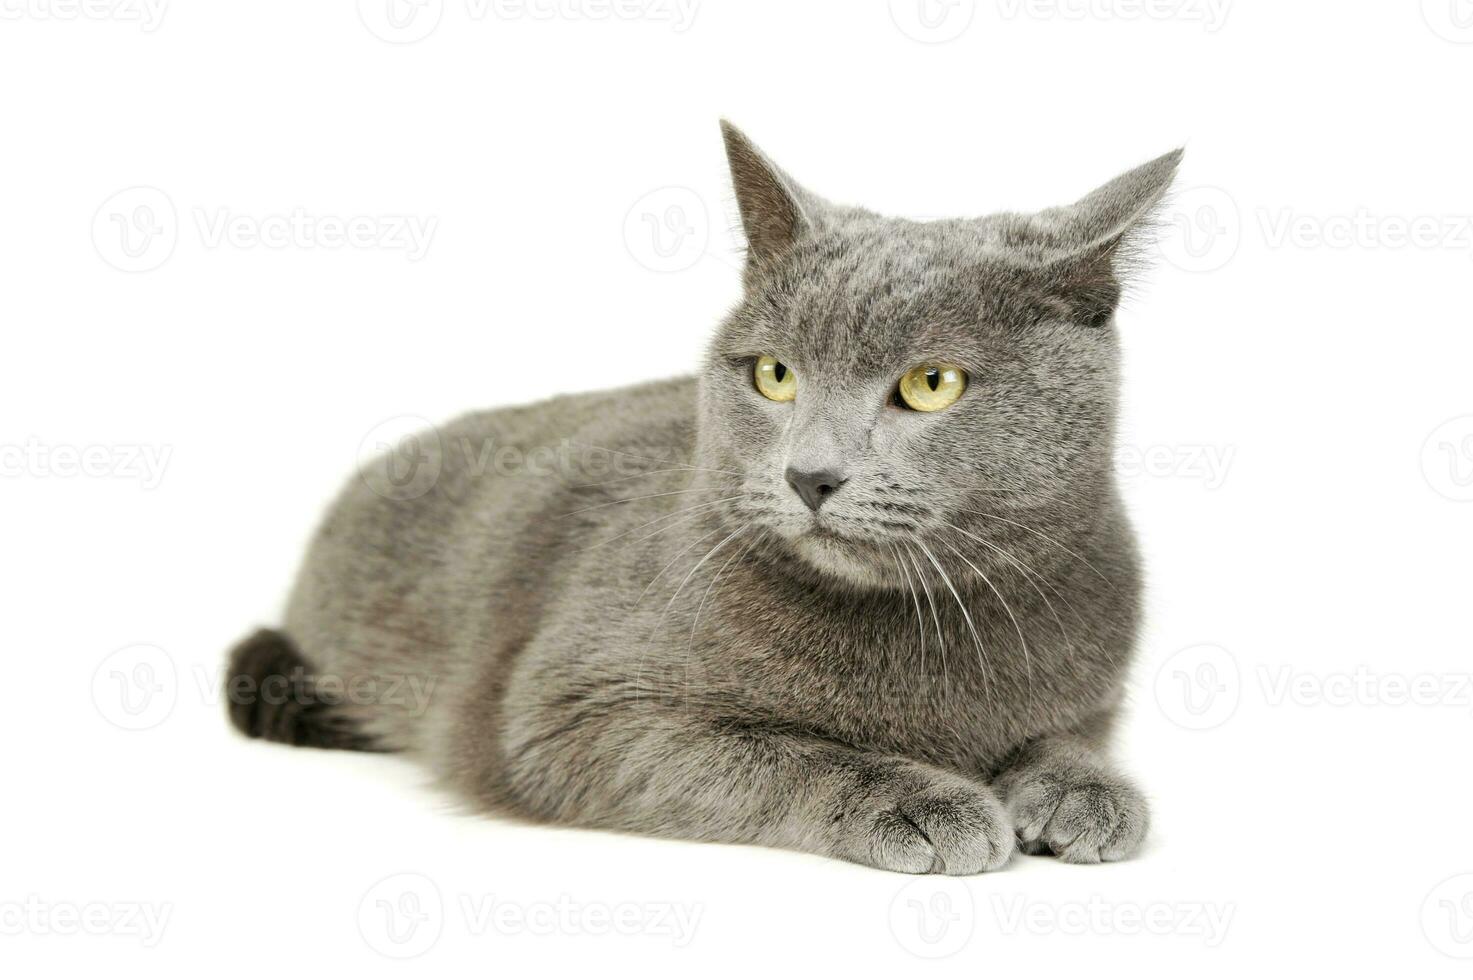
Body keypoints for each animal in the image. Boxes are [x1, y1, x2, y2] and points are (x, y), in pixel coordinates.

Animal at [226, 120, 1172, 872]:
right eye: (774, 374)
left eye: (931, 384)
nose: (809, 475)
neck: (927, 625)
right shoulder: (572, 715)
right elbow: (790, 755)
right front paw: (923, 801)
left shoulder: (1094, 680)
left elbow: (1067, 733)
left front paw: (1082, 791)